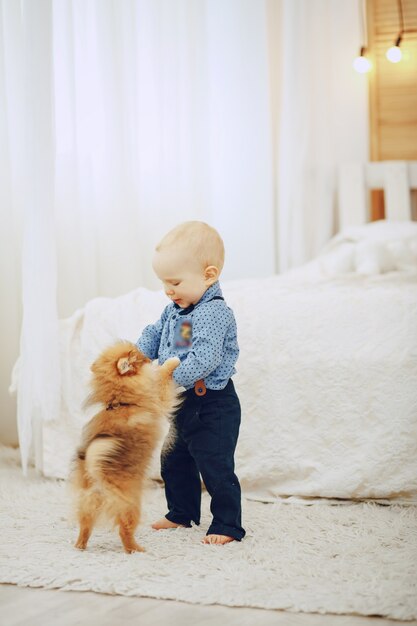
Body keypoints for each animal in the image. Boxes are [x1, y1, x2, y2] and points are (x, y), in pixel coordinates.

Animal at [69, 342, 181, 552]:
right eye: (141, 358)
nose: (149, 356)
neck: (120, 400)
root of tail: (96, 475)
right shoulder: (159, 396)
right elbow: (163, 375)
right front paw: (173, 361)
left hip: (87, 502)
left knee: (85, 524)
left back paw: (80, 545)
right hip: (131, 505)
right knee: (124, 531)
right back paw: (136, 549)